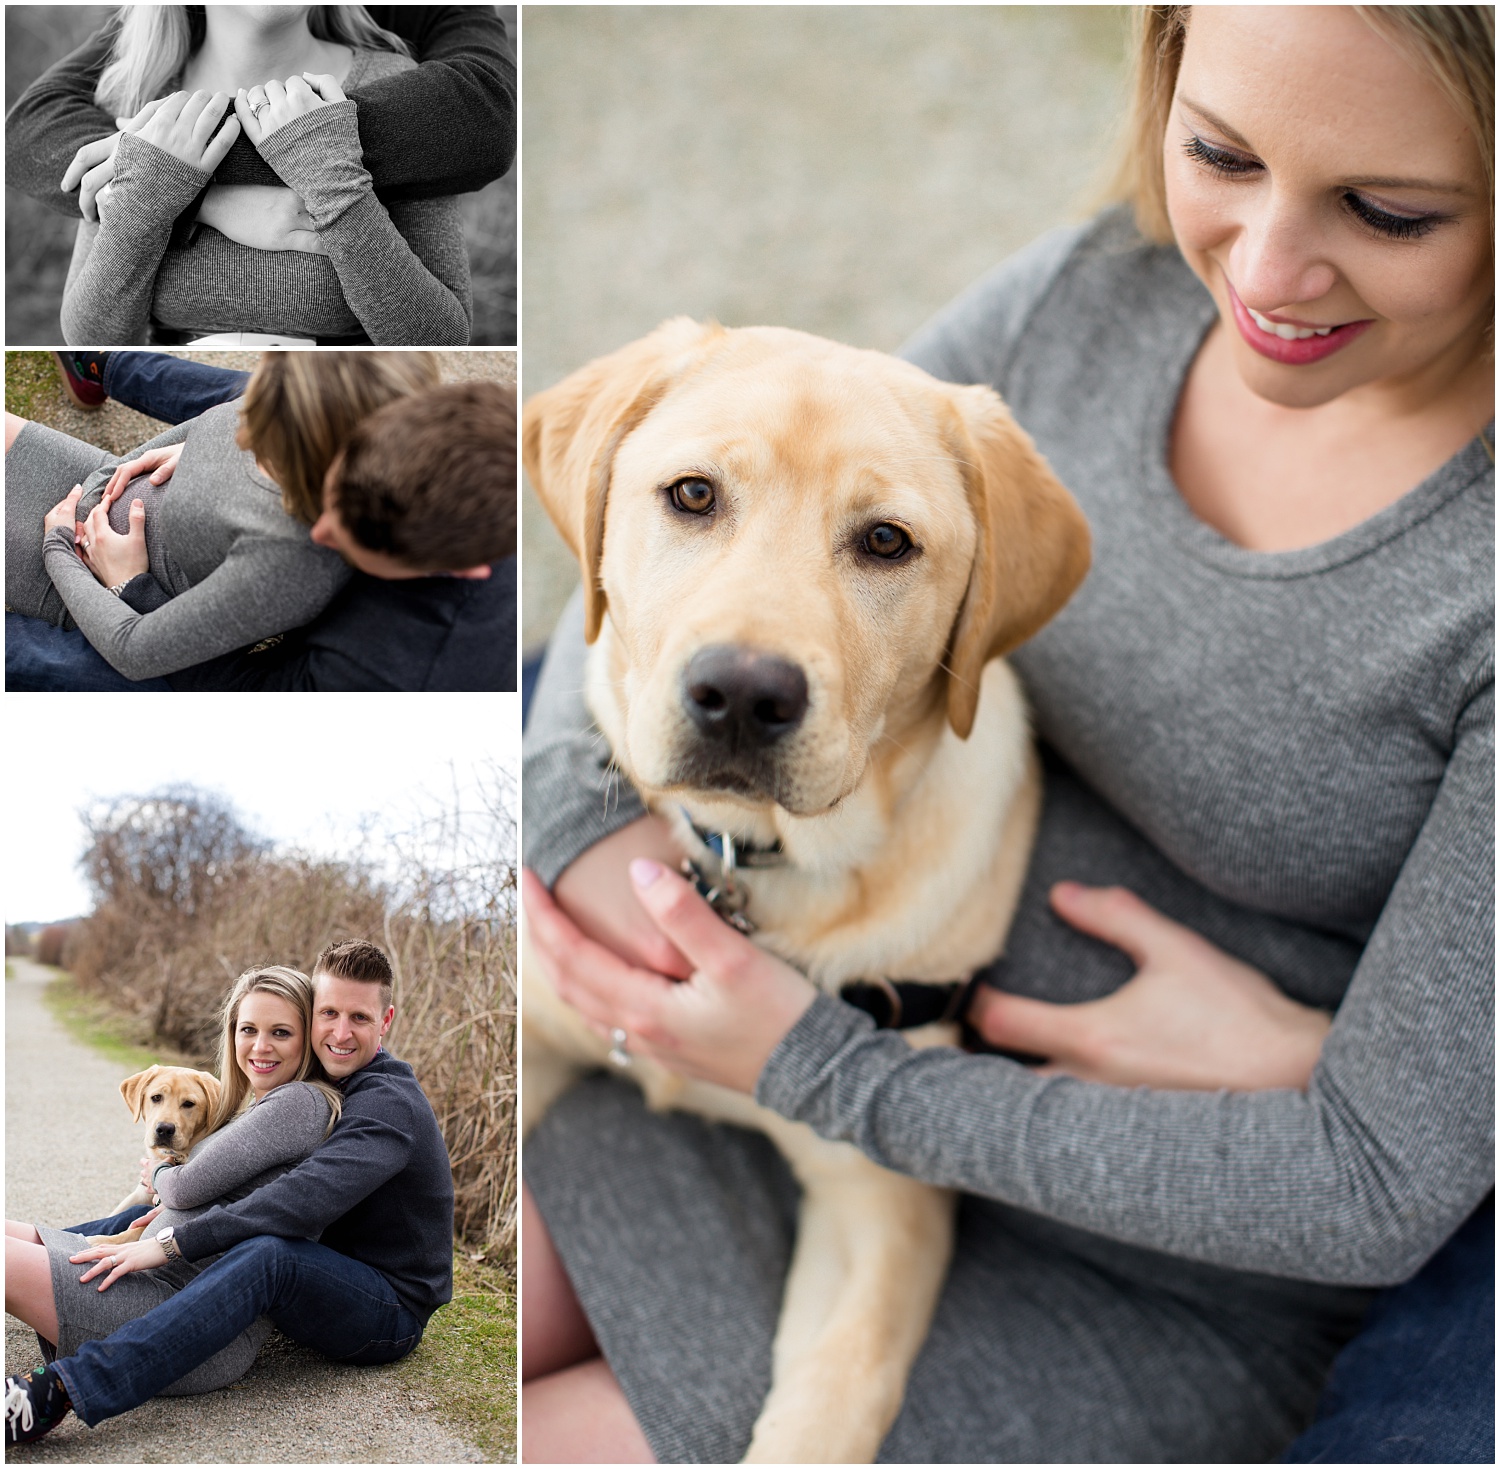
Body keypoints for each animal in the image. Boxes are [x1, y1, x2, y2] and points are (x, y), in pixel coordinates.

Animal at [528, 318, 1092, 1458]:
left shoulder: (879, 1201)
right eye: (693, 495)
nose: (743, 693)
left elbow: (837, 1390)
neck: (751, 864)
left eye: (885, 542)